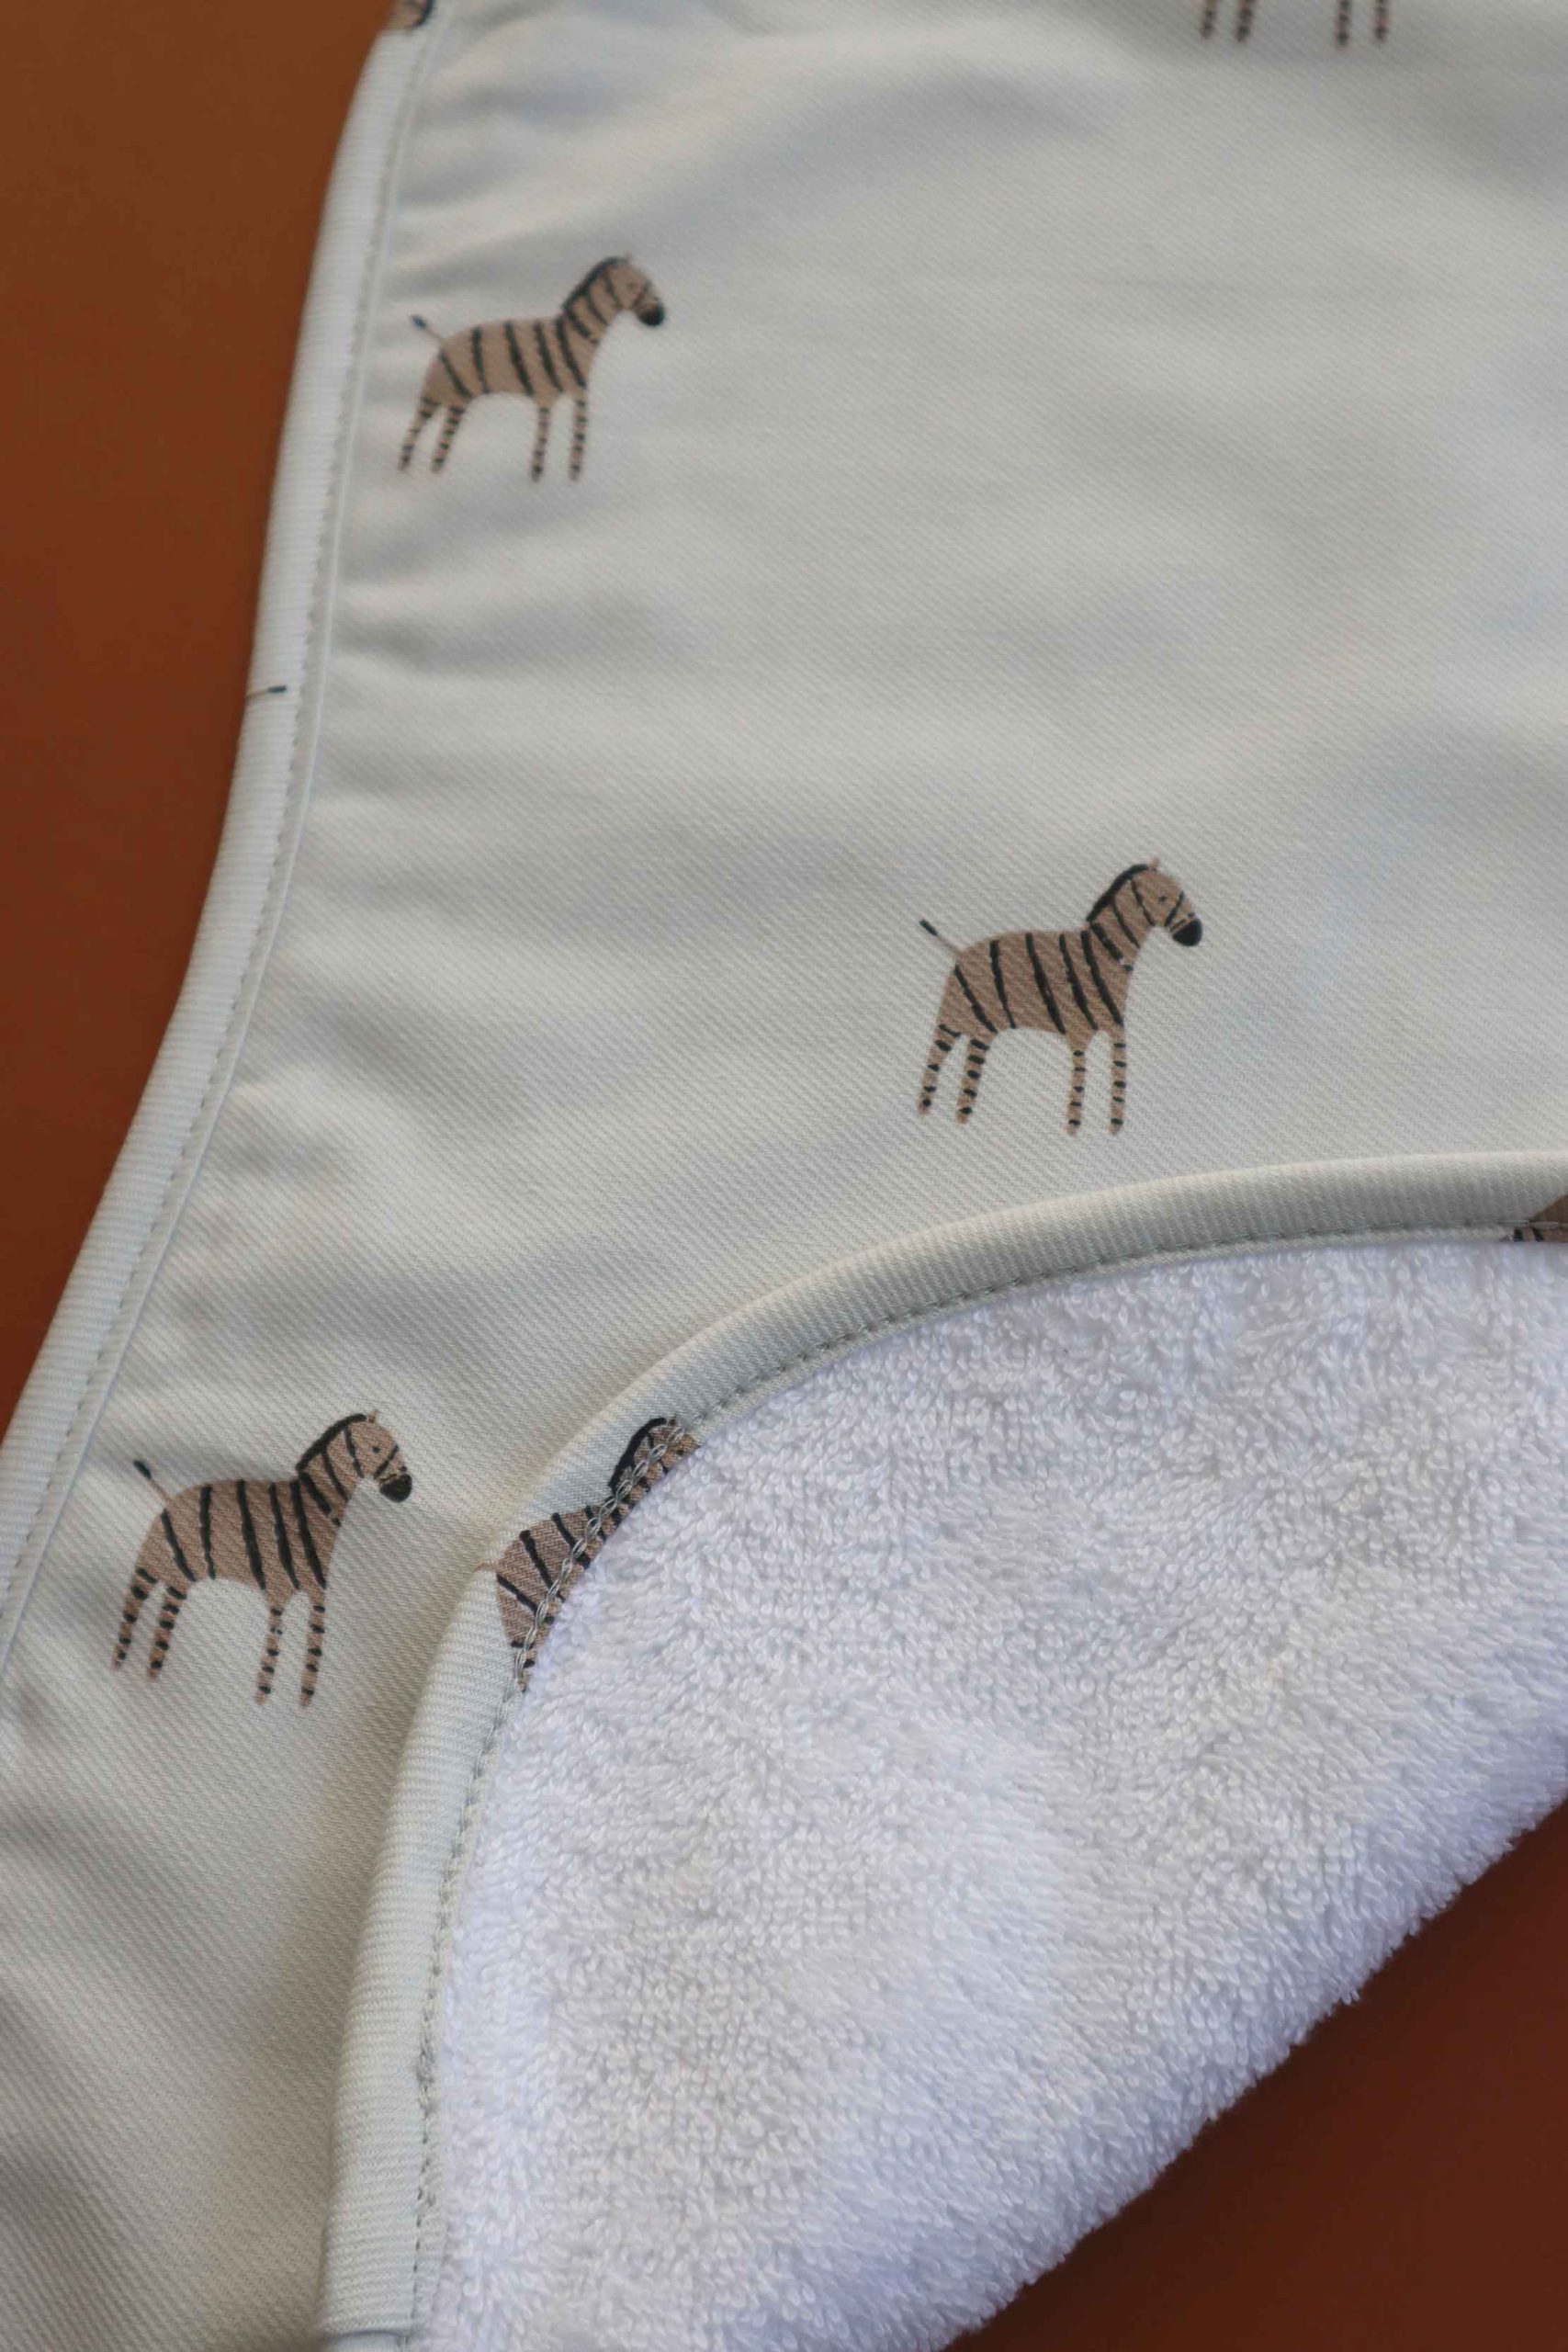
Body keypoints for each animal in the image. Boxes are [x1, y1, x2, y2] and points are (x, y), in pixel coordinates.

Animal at [112, 1413, 413, 1705]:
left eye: (396, 1446)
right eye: (376, 1448)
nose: (405, 1490)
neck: (311, 1508)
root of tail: (169, 1499)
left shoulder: (317, 1592)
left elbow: (315, 1641)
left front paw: (304, 1698)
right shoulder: (278, 1592)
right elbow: (274, 1645)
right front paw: (263, 1695)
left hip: (180, 1579)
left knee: (166, 1617)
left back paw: (152, 1670)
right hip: (148, 1566)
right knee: (132, 1609)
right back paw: (120, 1661)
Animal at [399, 258, 667, 483]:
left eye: (648, 282)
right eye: (632, 285)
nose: (660, 318)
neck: (571, 339)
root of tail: (442, 342)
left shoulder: (578, 392)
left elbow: (578, 431)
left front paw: (572, 474)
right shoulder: (547, 396)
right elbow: (546, 438)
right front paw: (541, 477)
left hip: (458, 401)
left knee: (442, 440)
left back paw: (434, 473)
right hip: (434, 394)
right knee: (415, 430)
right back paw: (405, 470)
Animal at [916, 862, 1203, 1135]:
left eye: (1181, 891)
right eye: (1163, 898)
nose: (1196, 935)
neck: (1103, 956)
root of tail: (960, 953)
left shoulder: (1116, 1028)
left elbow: (1119, 1072)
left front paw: (1114, 1126)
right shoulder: (1079, 1033)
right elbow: (1079, 1081)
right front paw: (1074, 1127)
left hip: (982, 1029)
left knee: (969, 1066)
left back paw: (960, 1117)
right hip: (951, 1019)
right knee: (935, 1062)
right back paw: (926, 1111)